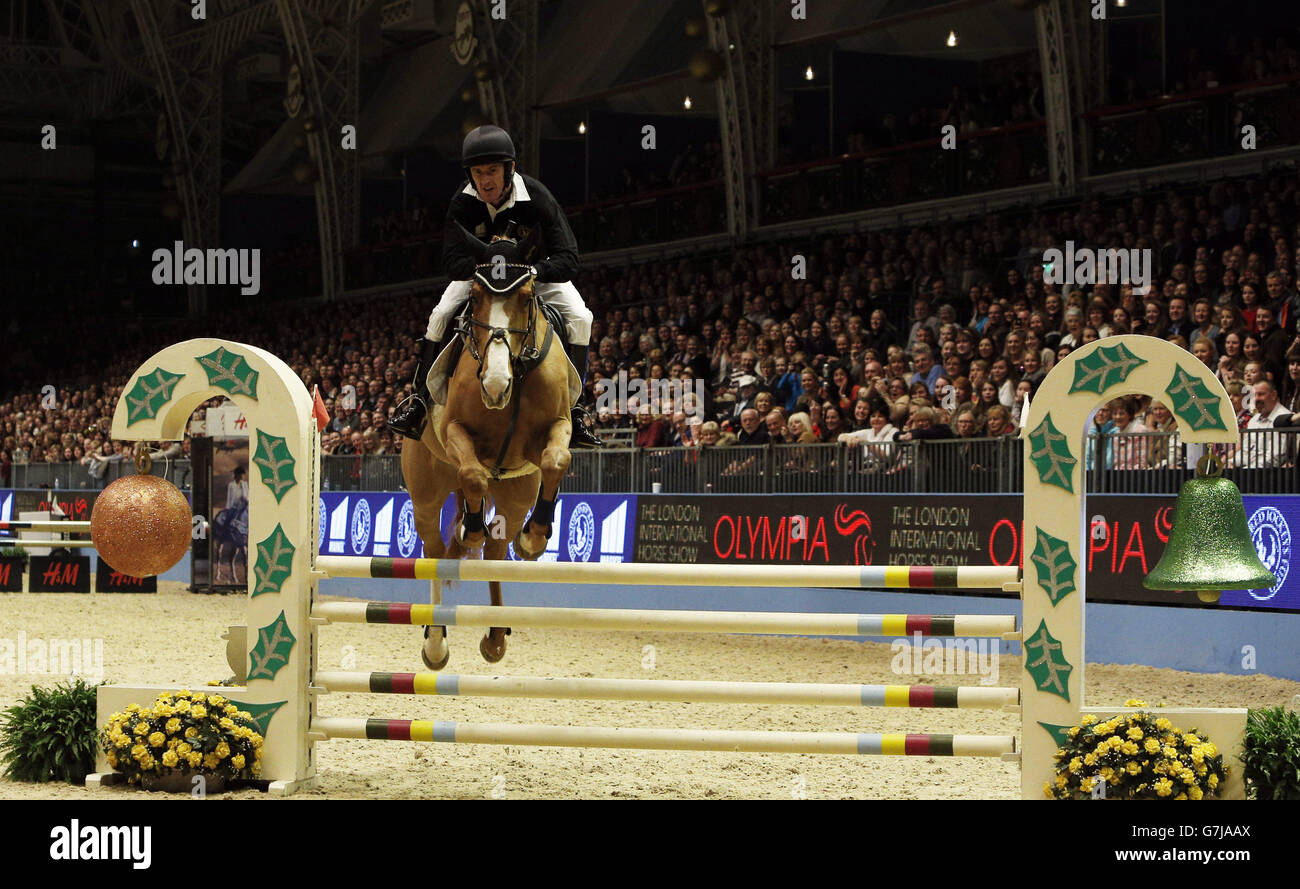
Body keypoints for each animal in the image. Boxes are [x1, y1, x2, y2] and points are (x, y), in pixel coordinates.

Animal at [400, 228, 574, 665]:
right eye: (476, 297)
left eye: (527, 297)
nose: (495, 385)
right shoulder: (455, 432)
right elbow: (474, 475)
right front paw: (471, 530)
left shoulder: (557, 427)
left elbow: (556, 459)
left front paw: (535, 538)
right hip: (425, 494)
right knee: (435, 551)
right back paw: (435, 642)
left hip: (515, 494)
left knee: (497, 549)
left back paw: (495, 636)